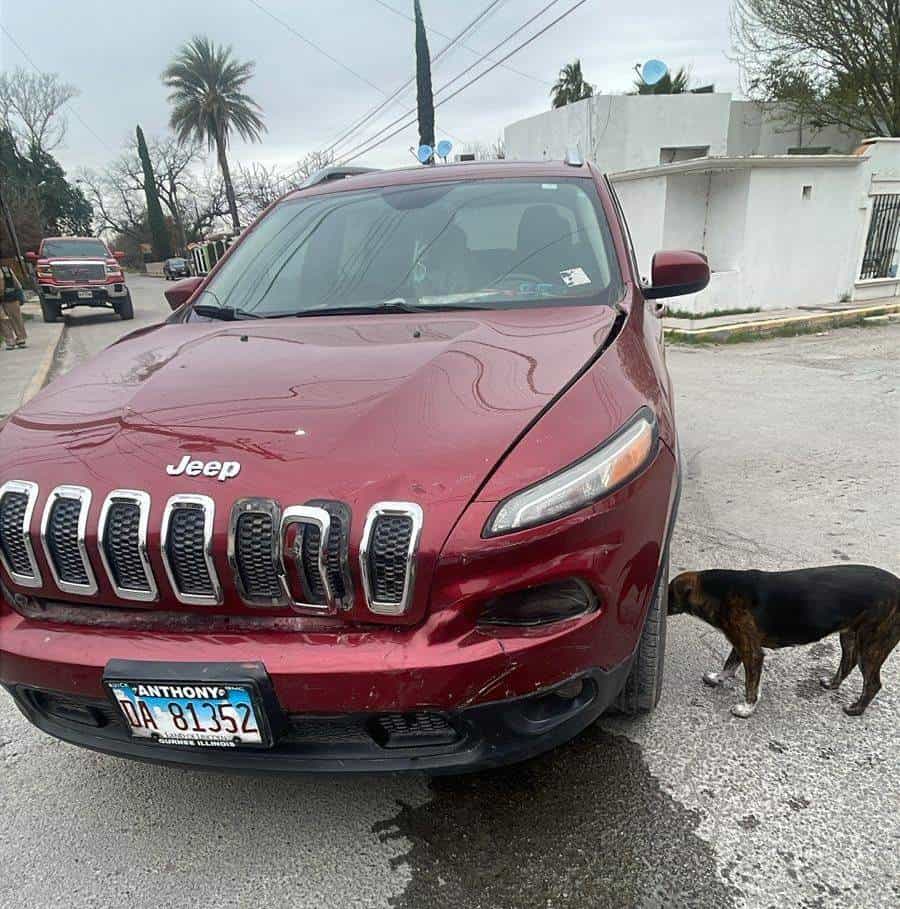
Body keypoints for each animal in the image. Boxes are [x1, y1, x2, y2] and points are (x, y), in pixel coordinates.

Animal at [668, 560, 900, 716]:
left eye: (668, 594)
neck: (719, 592)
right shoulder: (742, 641)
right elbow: (730, 663)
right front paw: (718, 678)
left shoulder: (752, 651)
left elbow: (751, 683)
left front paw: (747, 708)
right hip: (850, 636)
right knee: (848, 661)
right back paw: (833, 684)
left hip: (871, 645)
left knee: (873, 683)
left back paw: (856, 709)